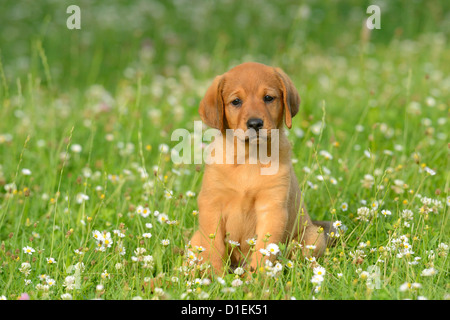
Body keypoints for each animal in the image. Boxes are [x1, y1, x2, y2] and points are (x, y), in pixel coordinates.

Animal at [189, 62, 334, 276]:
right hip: (195, 238)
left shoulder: (272, 208)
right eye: (236, 101)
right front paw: (214, 277)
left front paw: (257, 280)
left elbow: (264, 252)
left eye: (268, 98)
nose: (255, 124)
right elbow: (213, 248)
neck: (249, 158)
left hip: (312, 236)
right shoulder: (211, 204)